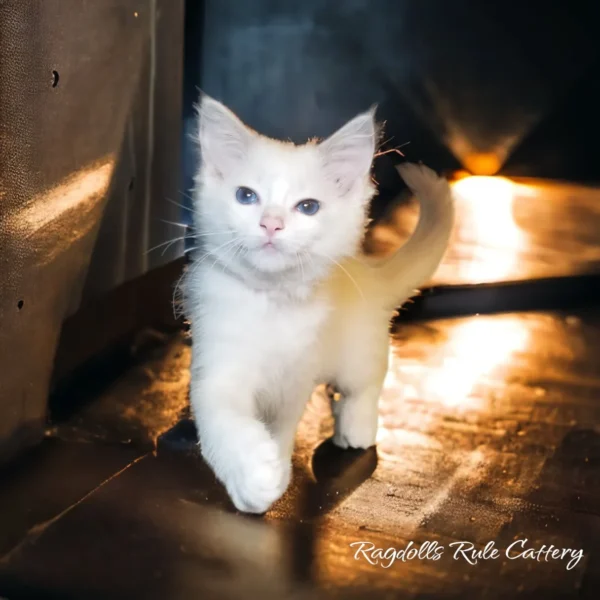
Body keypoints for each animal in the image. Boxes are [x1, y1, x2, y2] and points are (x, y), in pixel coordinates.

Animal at [184, 96, 454, 512]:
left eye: (307, 207)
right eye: (246, 196)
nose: (271, 224)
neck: (272, 304)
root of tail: (370, 273)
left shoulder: (295, 379)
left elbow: (282, 426)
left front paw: (275, 467)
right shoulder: (216, 364)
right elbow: (224, 421)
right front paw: (254, 478)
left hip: (357, 356)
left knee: (366, 384)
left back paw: (356, 427)